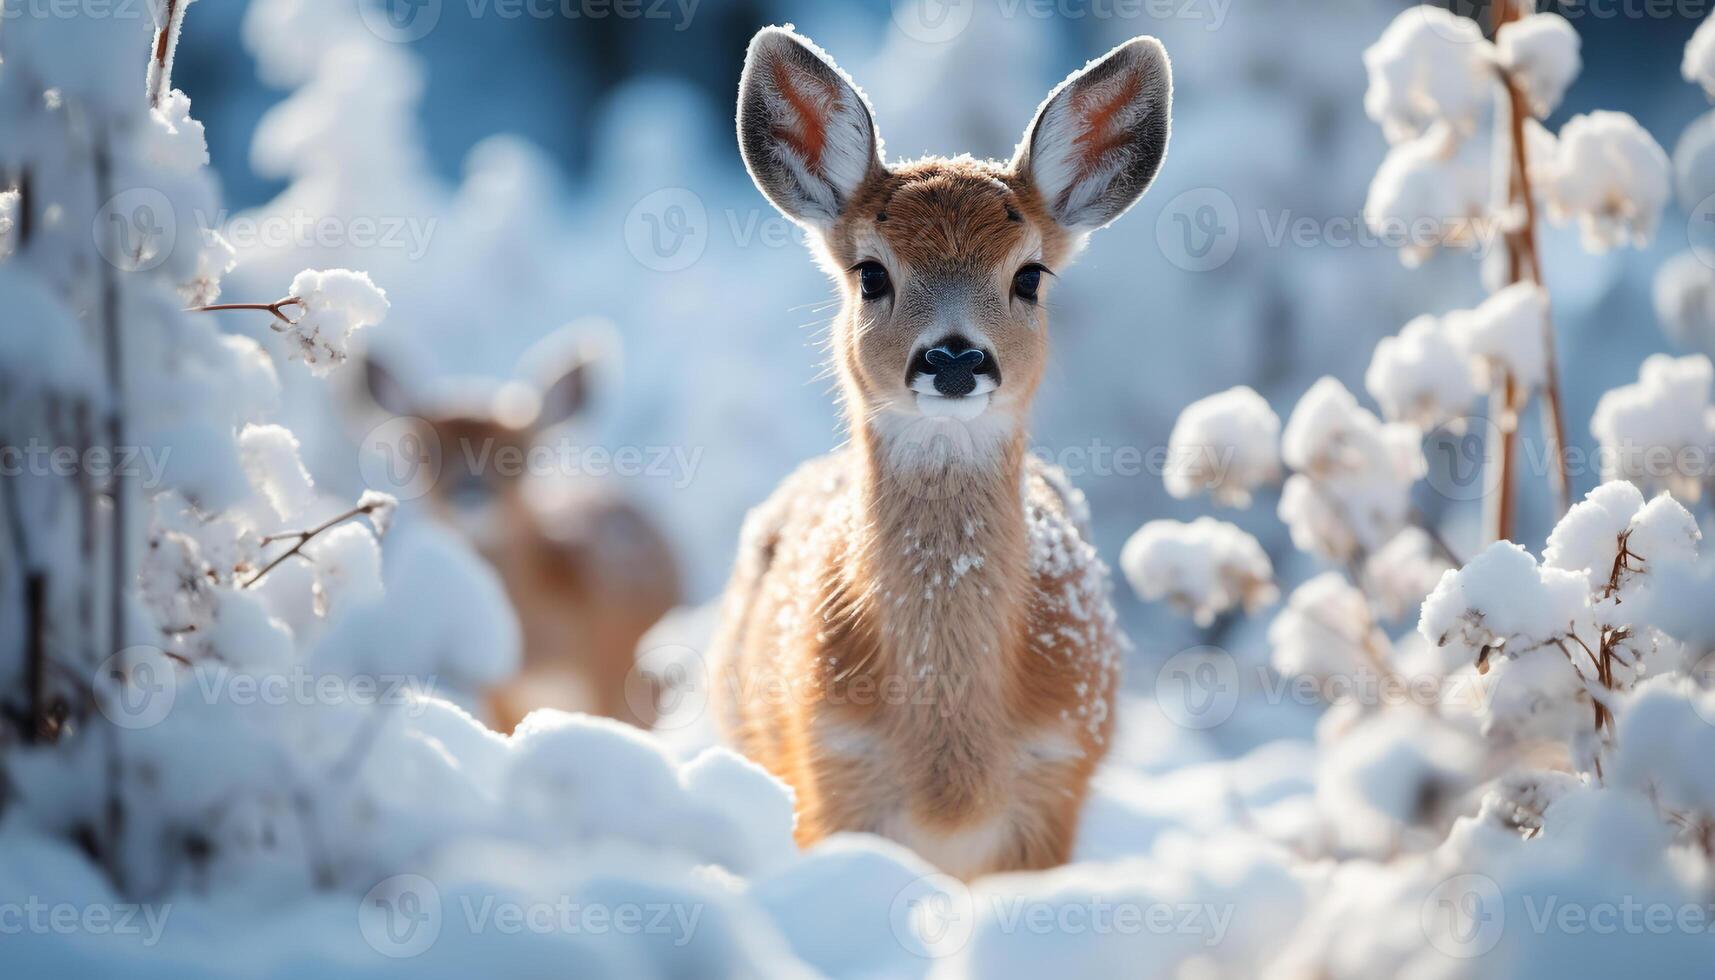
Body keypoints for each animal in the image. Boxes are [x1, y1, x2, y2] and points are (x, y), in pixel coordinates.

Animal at [706, 26, 1166, 878]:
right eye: (870, 273)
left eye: (1028, 275)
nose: (953, 357)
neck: (949, 768)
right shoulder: (829, 770)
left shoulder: (1056, 779)